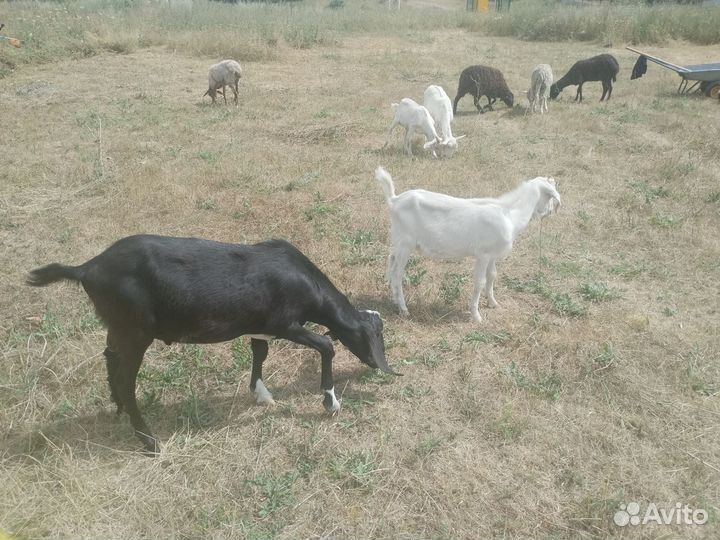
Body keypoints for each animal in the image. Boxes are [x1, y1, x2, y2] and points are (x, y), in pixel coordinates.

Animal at [27, 235, 397, 454]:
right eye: (376, 336)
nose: (377, 367)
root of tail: (87, 268)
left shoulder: (260, 325)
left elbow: (259, 351)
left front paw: (261, 394)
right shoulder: (285, 324)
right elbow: (324, 345)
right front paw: (330, 401)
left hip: (116, 325)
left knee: (109, 356)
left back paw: (118, 408)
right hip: (136, 331)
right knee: (125, 377)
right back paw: (147, 439)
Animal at [375, 167, 561, 323]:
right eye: (550, 196)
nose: (551, 211)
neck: (509, 215)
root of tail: (394, 200)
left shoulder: (492, 254)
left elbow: (492, 275)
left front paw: (493, 303)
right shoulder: (483, 255)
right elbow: (480, 282)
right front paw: (476, 315)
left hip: (398, 241)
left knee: (391, 261)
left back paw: (394, 299)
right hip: (406, 243)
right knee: (398, 273)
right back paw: (404, 309)